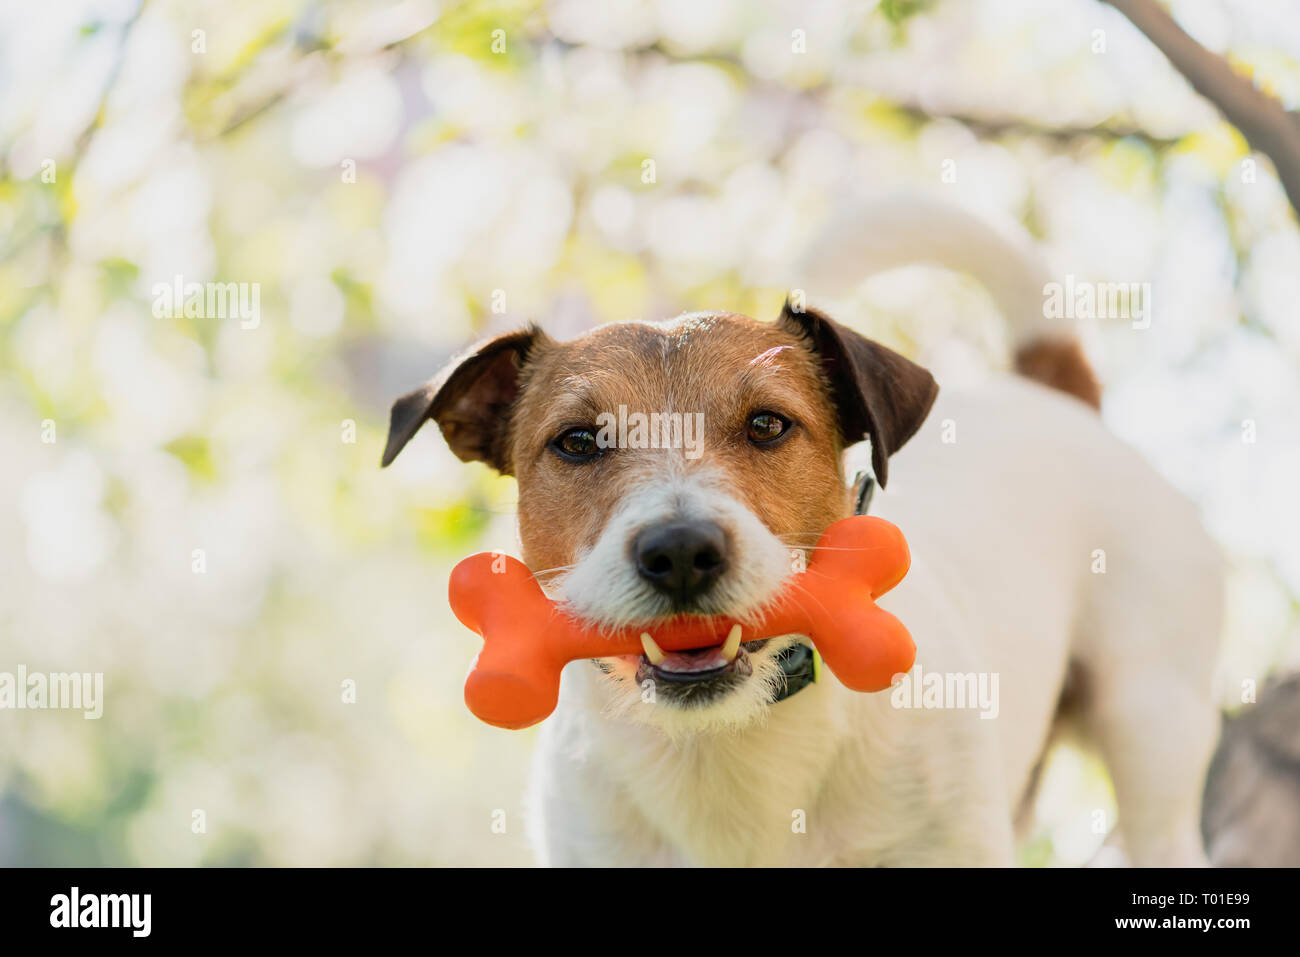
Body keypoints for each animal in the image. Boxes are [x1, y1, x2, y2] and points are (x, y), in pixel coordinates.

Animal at [379, 196, 1222, 868]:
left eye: (767, 424)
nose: (680, 552)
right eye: (578, 441)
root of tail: (1052, 397)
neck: (726, 747)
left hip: (1150, 724)